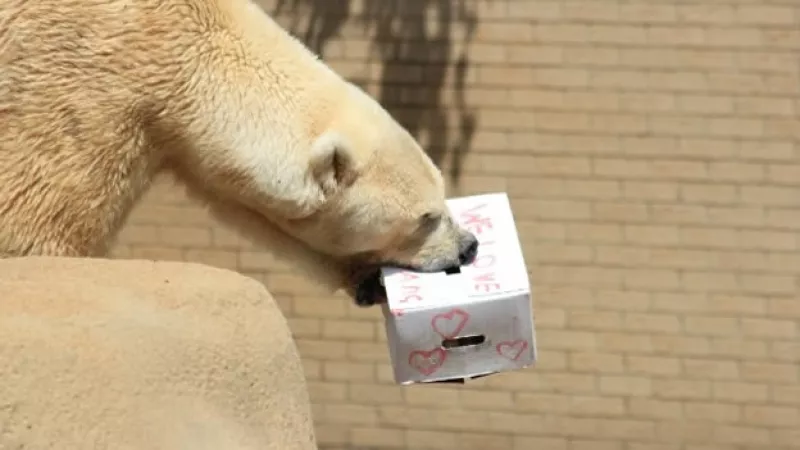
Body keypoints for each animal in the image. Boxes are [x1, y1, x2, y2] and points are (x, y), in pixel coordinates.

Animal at [0, 0, 479, 306]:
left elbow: (252, 212)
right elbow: (35, 223)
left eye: (442, 198)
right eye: (426, 217)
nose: (469, 248)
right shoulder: (82, 83)